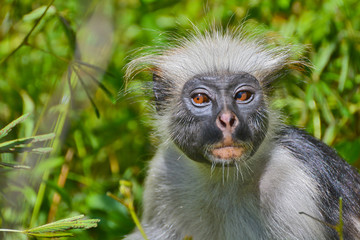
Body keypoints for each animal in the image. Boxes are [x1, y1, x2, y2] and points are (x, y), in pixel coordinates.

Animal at [122, 26, 360, 240]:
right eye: (200, 98)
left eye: (243, 95)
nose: (227, 119)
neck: (222, 180)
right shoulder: (163, 172)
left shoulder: (293, 182)